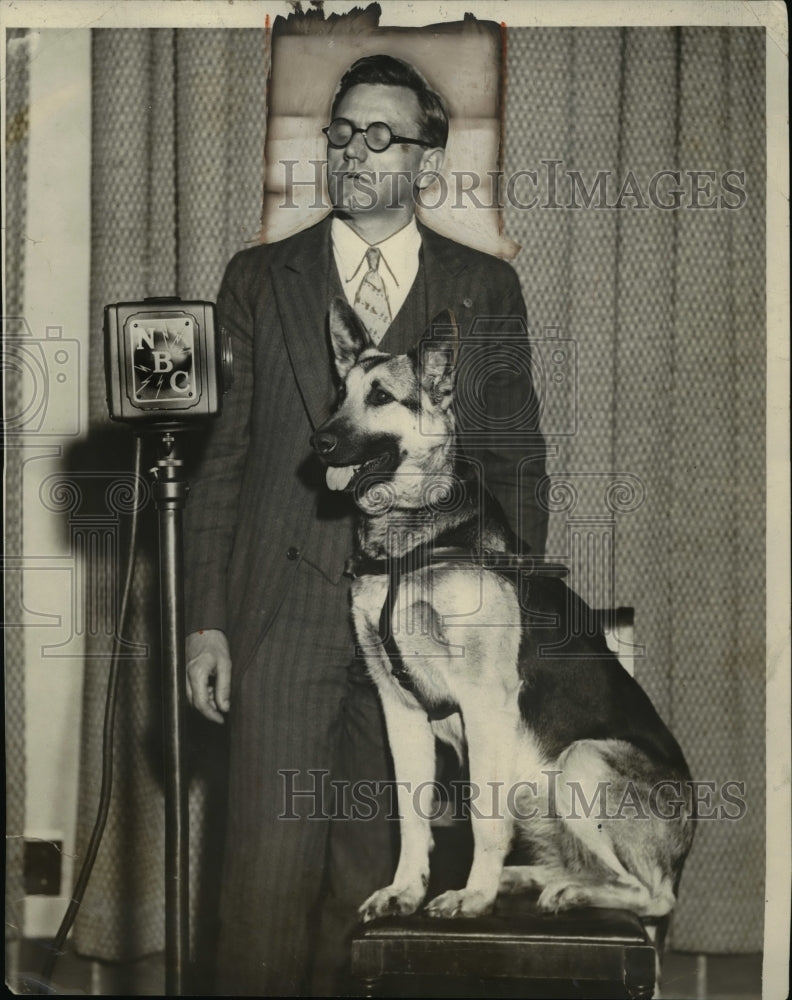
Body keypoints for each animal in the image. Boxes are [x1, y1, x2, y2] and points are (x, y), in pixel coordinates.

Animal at [310, 300, 692, 924]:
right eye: (338, 395)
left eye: (381, 396)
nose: (318, 442)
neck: (414, 540)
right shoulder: (400, 709)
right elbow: (411, 816)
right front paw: (405, 889)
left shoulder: (484, 702)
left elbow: (483, 818)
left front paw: (474, 895)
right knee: (586, 864)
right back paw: (533, 879)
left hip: (579, 763)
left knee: (652, 895)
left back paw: (564, 891)